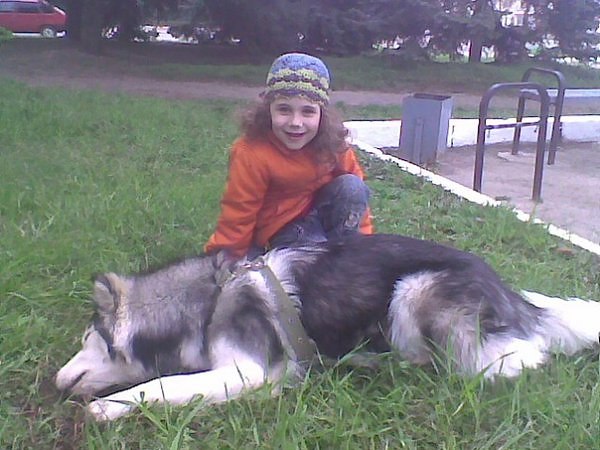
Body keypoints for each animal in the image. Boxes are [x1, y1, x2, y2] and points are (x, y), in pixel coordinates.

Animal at [55, 233, 600, 421]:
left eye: (87, 341)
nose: (57, 382)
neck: (206, 303)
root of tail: (511, 293)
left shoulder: (245, 369)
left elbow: (164, 384)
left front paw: (111, 406)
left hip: (416, 292)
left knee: (521, 358)